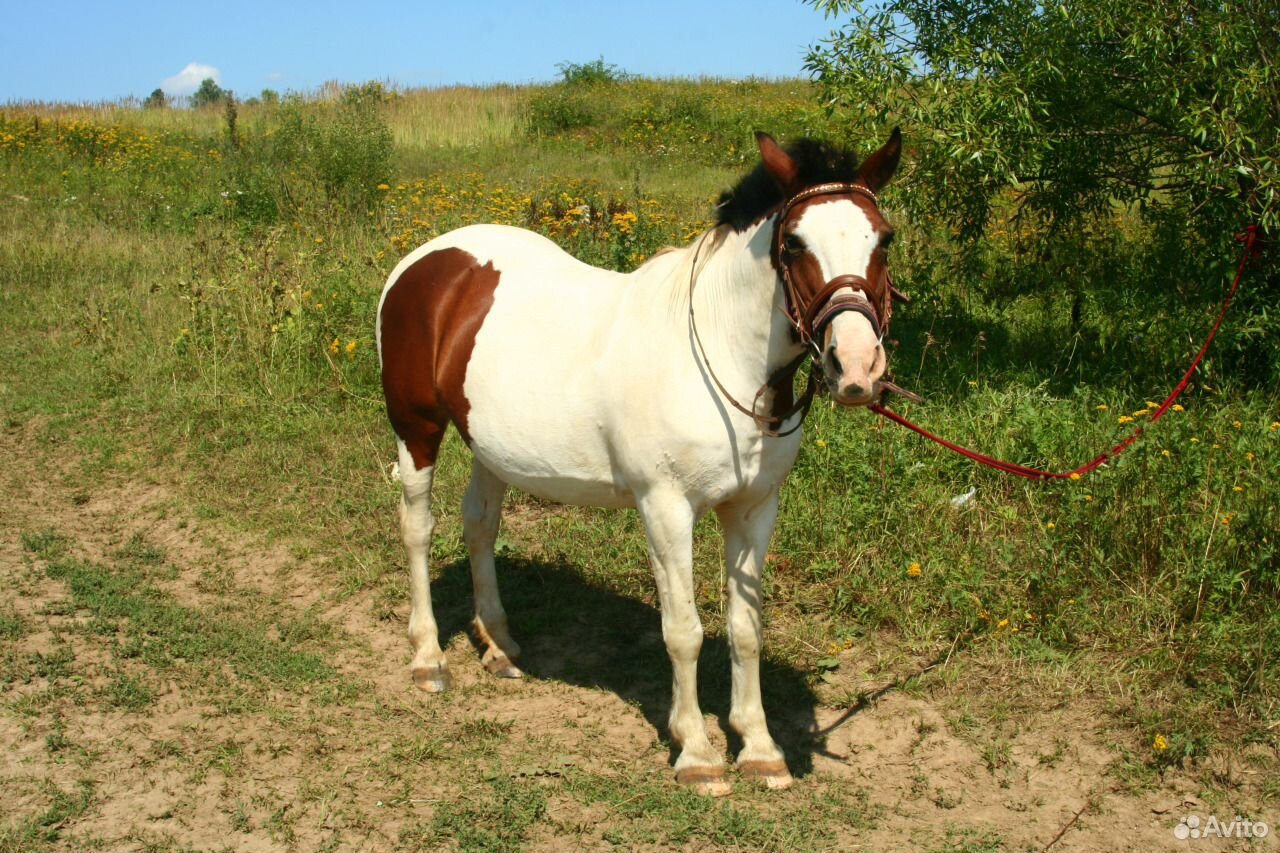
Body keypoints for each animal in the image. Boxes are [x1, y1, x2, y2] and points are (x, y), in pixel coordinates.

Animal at [373, 129, 906, 794]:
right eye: (793, 243)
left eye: (884, 238)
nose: (856, 368)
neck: (720, 356)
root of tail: (425, 260)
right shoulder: (667, 508)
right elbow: (684, 631)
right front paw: (697, 753)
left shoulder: (755, 509)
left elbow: (746, 629)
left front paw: (759, 747)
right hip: (416, 428)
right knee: (418, 528)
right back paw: (428, 657)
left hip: (490, 445)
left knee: (479, 527)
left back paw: (499, 644)